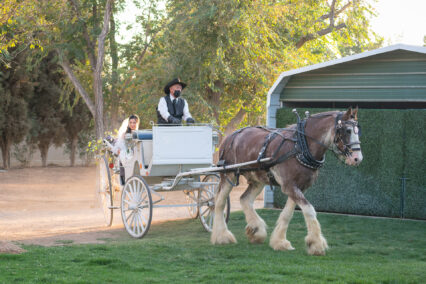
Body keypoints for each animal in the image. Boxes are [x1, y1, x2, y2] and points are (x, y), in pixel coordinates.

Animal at [213, 106, 362, 255]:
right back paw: (222, 236)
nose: (357, 158)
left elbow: (287, 214)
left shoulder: (299, 187)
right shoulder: (289, 186)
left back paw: (256, 230)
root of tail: (229, 137)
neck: (300, 146)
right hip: (228, 175)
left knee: (245, 199)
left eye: (357, 130)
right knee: (219, 202)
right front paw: (316, 244)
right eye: (347, 130)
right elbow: (309, 209)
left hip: (258, 180)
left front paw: (280, 242)